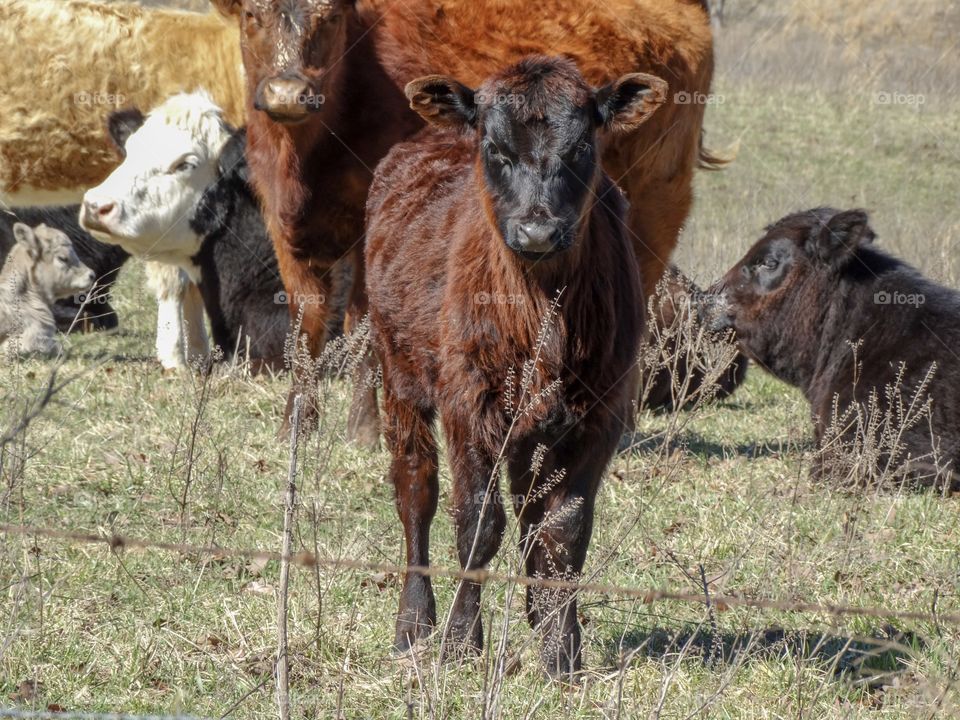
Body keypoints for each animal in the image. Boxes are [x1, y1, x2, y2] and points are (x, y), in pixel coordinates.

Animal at [209, 0, 719, 443]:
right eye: (252, 15)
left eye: (330, 17)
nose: (288, 94)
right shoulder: (286, 231)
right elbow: (306, 326)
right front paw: (296, 425)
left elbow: (364, 330)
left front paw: (365, 431)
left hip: (658, 203)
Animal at [366, 56, 650, 678]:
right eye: (494, 149)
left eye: (581, 147)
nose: (537, 230)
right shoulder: (468, 406)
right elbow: (477, 523)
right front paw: (459, 638)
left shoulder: (600, 415)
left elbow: (564, 528)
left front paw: (560, 647)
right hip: (398, 377)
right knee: (416, 492)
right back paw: (413, 623)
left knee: (530, 513)